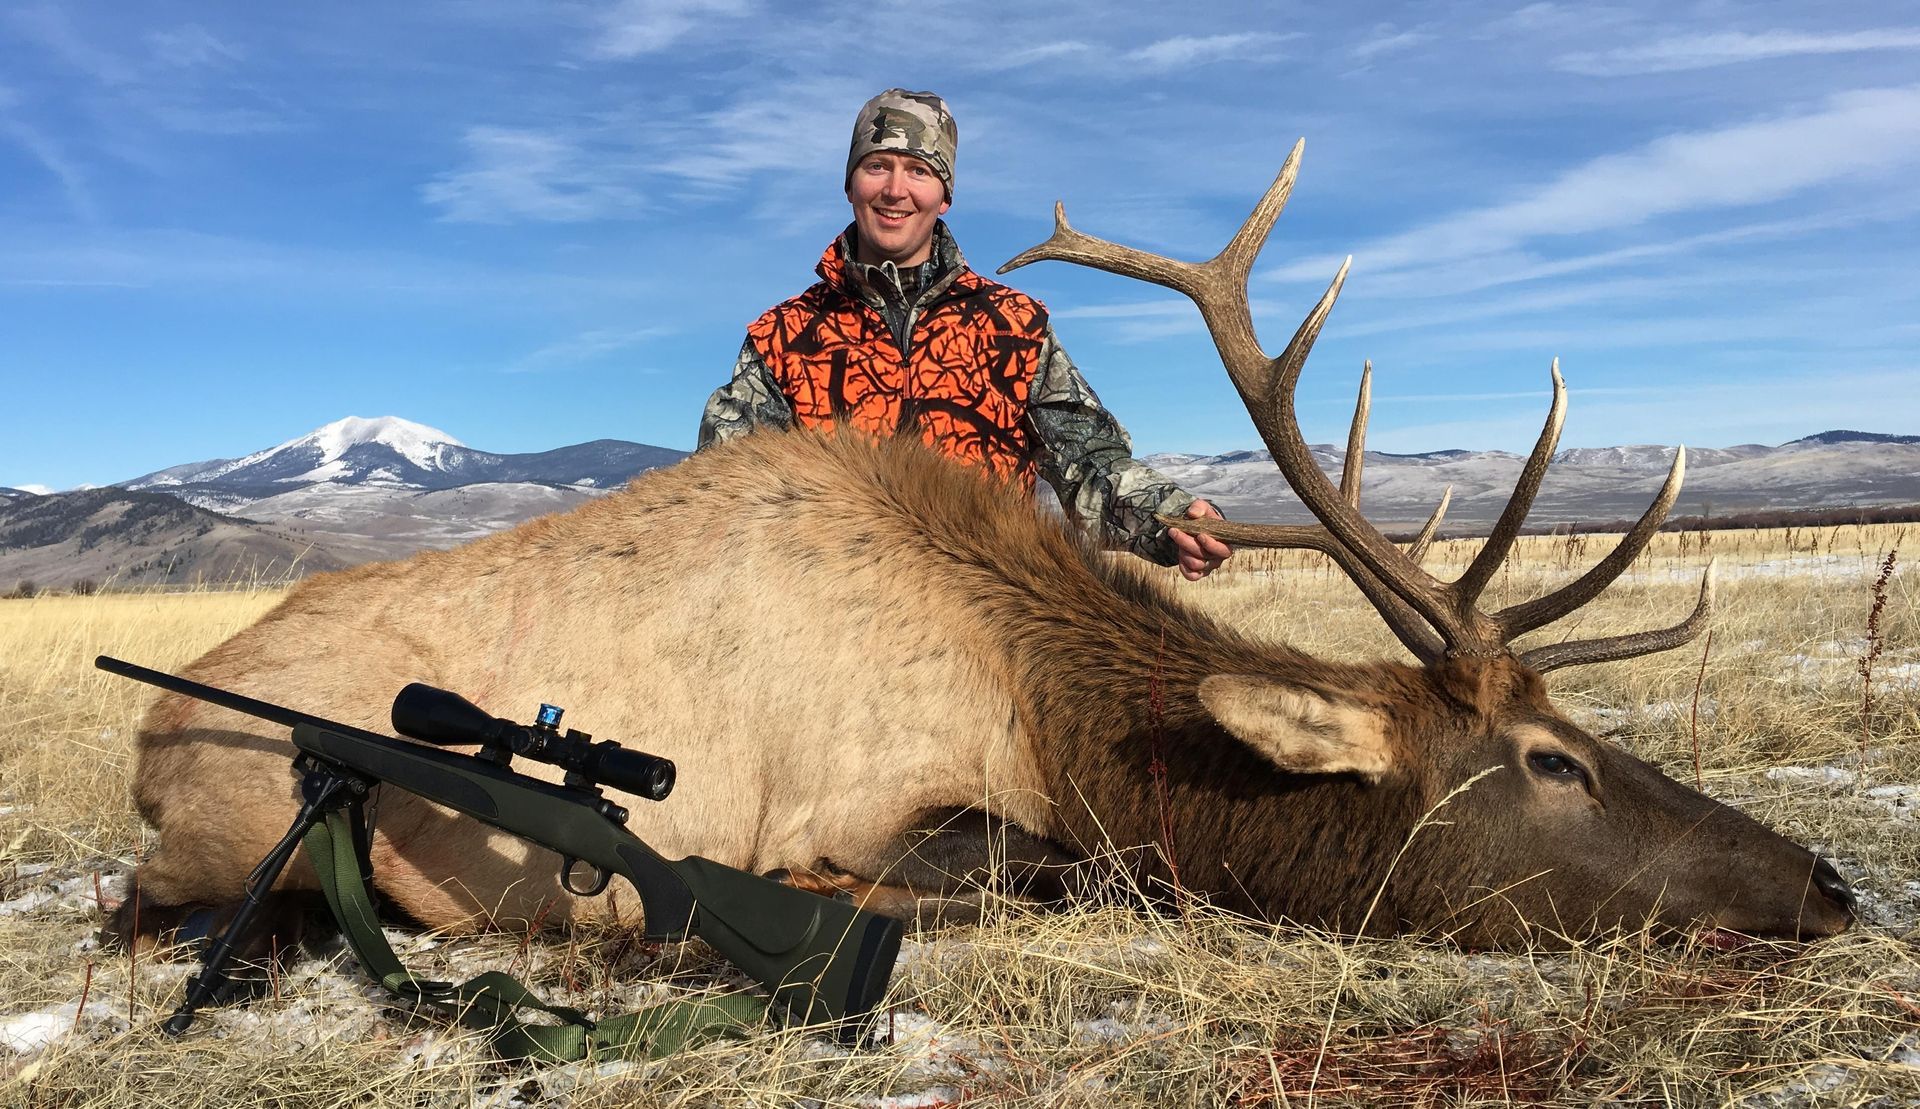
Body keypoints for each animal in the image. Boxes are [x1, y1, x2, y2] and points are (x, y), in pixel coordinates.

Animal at [107, 141, 1854, 966]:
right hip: (237, 823)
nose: (1831, 880)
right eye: (1554, 762)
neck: (1058, 709)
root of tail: (154, 720)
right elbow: (1045, 866)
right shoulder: (873, 798)